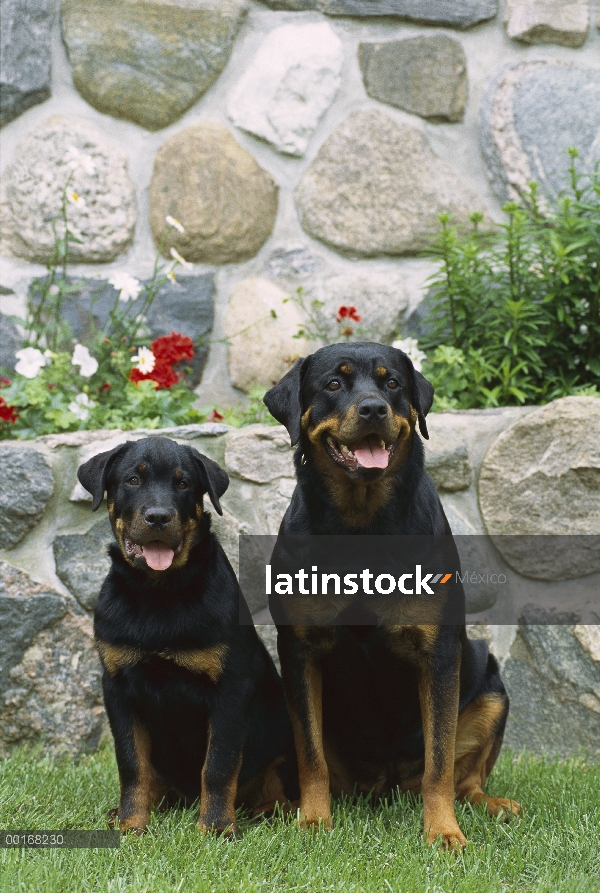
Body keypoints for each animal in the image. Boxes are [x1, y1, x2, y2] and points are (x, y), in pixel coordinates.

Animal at [77, 440, 298, 836]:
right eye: (133, 480)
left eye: (183, 484)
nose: (158, 517)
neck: (159, 594)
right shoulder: (117, 686)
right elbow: (131, 764)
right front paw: (131, 824)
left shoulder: (230, 687)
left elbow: (219, 764)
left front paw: (216, 827)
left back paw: (270, 811)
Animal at [264, 344, 520, 852]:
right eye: (334, 384)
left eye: (392, 384)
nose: (373, 409)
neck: (363, 523)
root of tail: (385, 784)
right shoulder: (299, 651)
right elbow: (311, 755)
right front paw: (314, 820)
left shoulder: (439, 654)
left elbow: (440, 761)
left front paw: (443, 831)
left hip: (490, 688)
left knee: (464, 778)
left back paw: (492, 804)